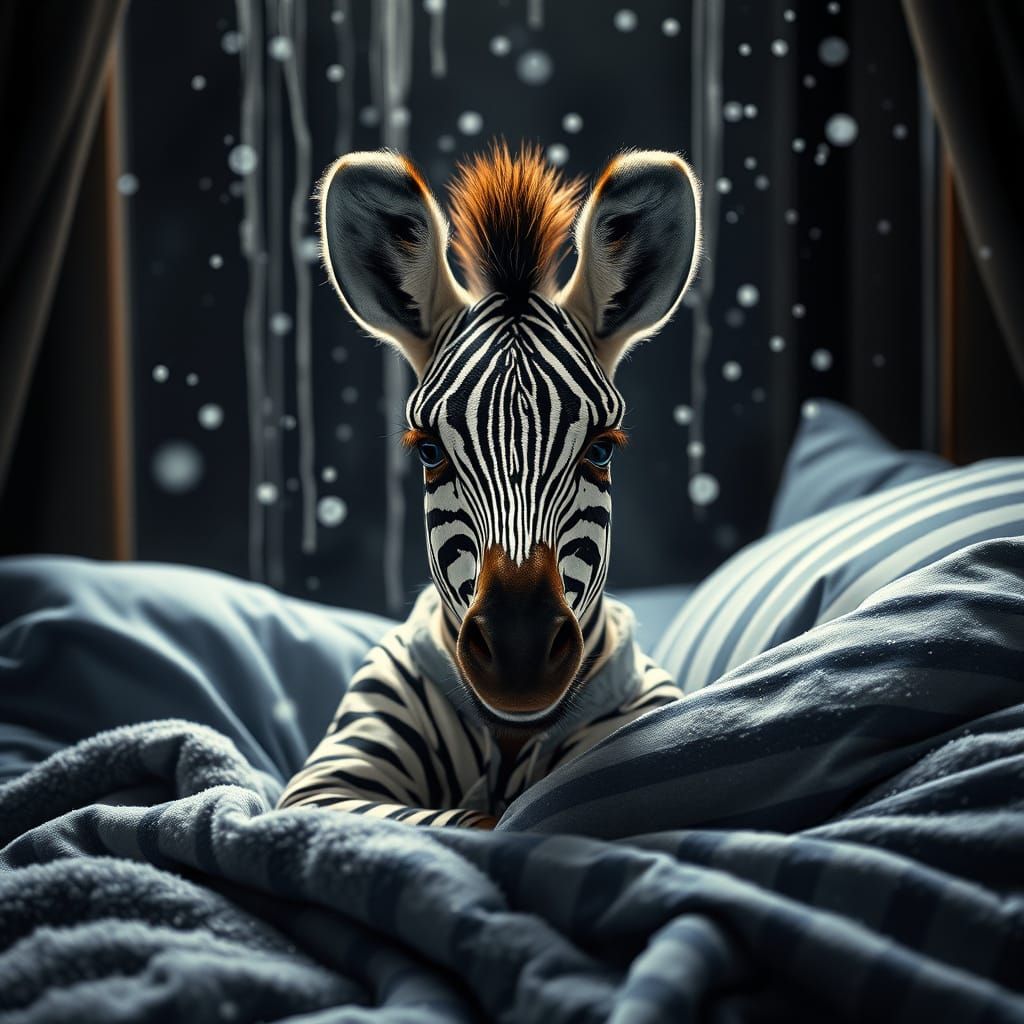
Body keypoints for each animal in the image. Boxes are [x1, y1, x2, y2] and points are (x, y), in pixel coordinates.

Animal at [278, 141, 702, 828]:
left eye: (600, 450)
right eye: (429, 452)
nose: (519, 655)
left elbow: (518, 814)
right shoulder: (328, 786)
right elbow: (480, 821)